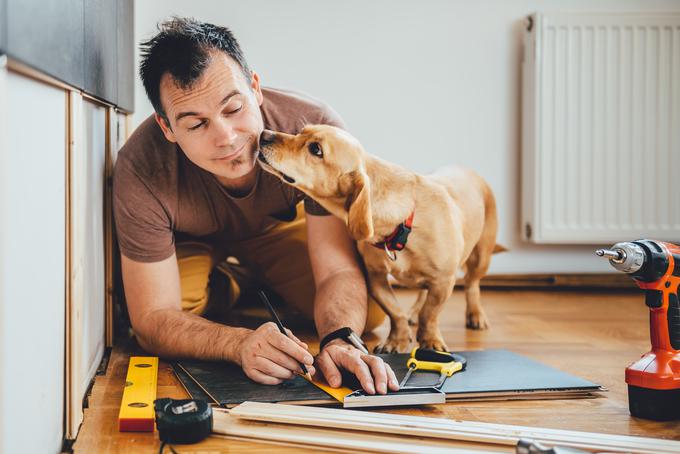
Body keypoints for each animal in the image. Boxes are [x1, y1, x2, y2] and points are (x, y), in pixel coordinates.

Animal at [258, 126, 502, 352]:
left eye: (316, 149)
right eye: (300, 131)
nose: (263, 134)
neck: (404, 223)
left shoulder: (444, 281)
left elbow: (430, 314)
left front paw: (430, 340)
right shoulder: (376, 278)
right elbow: (396, 312)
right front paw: (397, 340)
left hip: (481, 258)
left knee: (471, 284)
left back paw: (476, 315)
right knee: (423, 292)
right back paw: (414, 312)